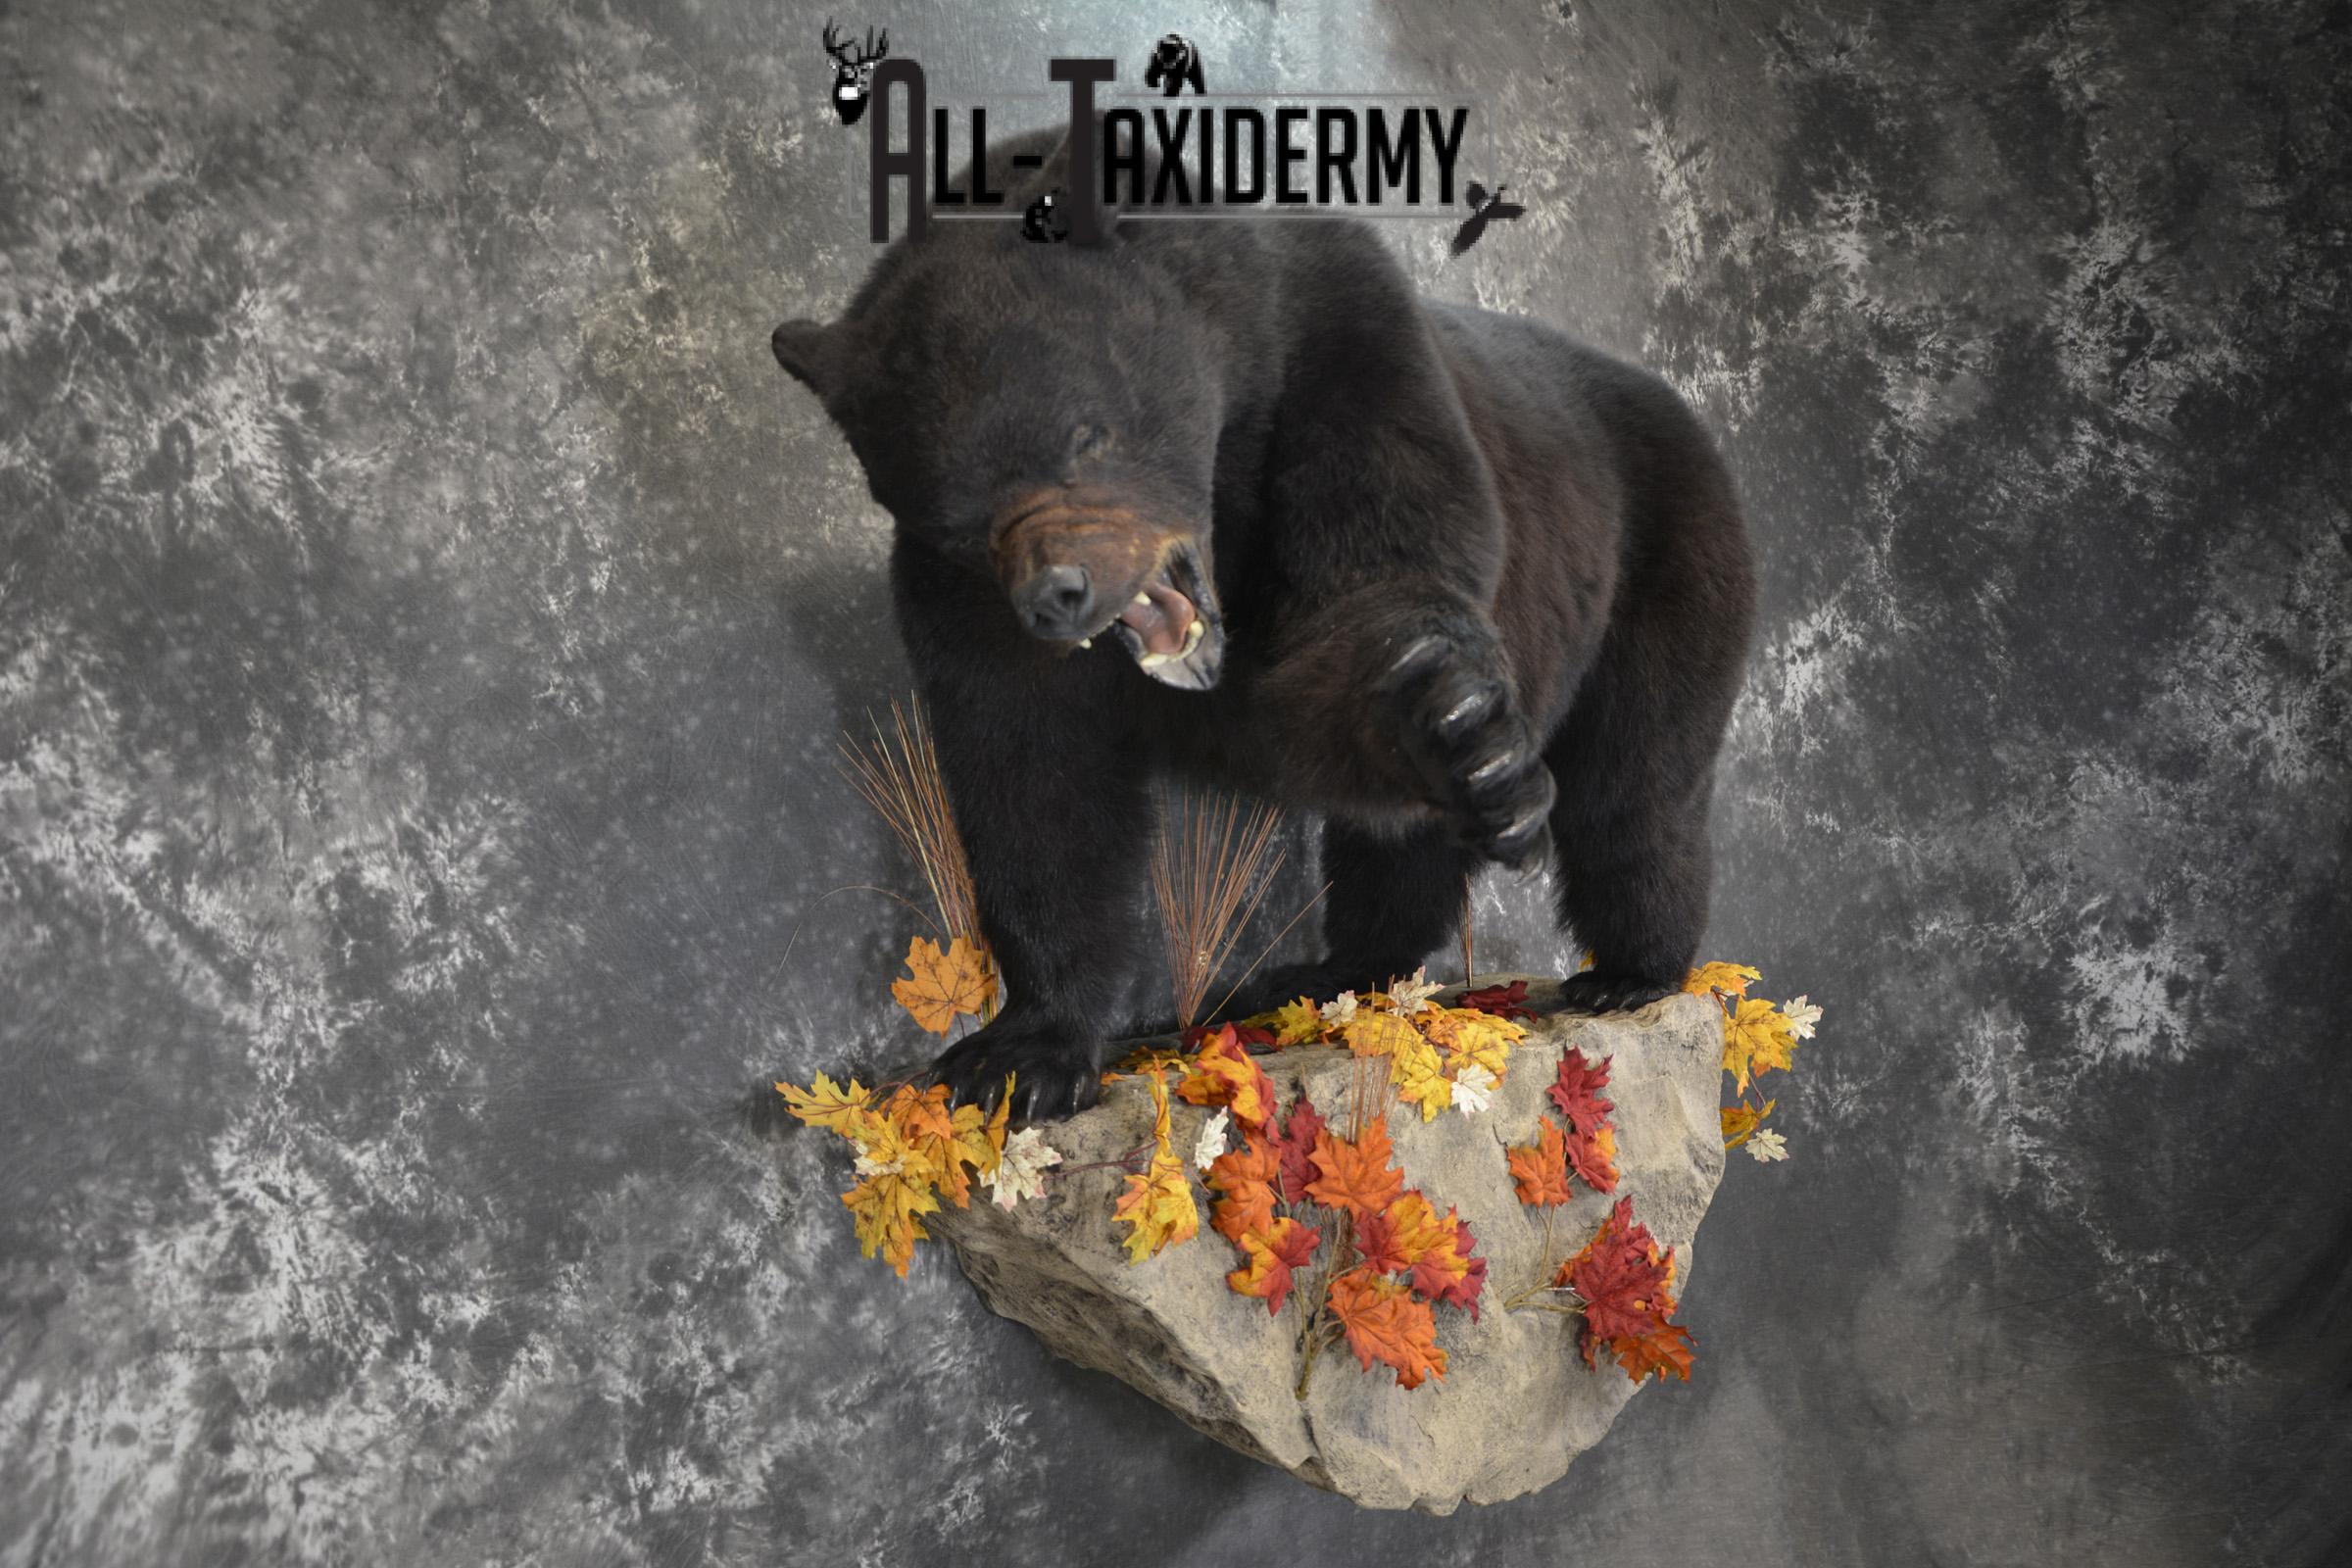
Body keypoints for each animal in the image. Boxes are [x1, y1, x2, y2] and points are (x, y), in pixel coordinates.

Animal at [769, 124, 1756, 1124]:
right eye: (957, 515)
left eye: (1086, 434)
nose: (1058, 594)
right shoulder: (962, 606)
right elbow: (1034, 781)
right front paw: (1018, 1056)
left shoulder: (1344, 371)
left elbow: (1374, 599)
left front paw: (1462, 733)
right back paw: (1327, 969)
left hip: (1665, 555)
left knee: (1636, 783)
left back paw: (1628, 972)